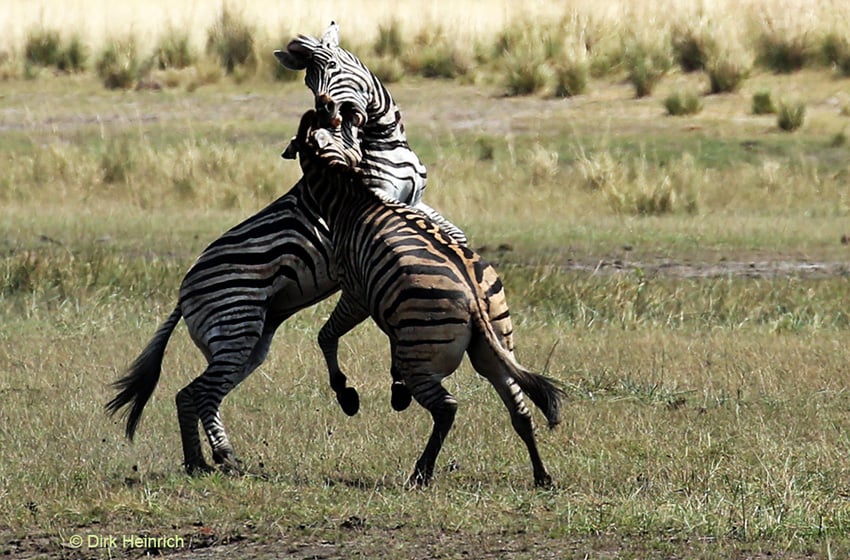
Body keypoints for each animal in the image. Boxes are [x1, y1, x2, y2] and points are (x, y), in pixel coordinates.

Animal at [107, 24, 464, 474]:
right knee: (200, 392)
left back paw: (200, 463)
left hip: (249, 342)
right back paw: (223, 457)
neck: (385, 141)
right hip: (236, 329)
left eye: (332, 67)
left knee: (190, 394)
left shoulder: (416, 200)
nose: (325, 109)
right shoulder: (378, 198)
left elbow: (451, 232)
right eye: (310, 81)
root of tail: (183, 293)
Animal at [284, 108, 564, 486]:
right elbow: (387, 341)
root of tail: (473, 298)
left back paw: (421, 472)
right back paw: (541, 476)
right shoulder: (394, 308)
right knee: (519, 409)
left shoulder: (356, 292)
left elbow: (326, 335)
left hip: (424, 354)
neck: (352, 201)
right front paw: (395, 387)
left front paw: (346, 393)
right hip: (492, 349)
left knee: (447, 407)